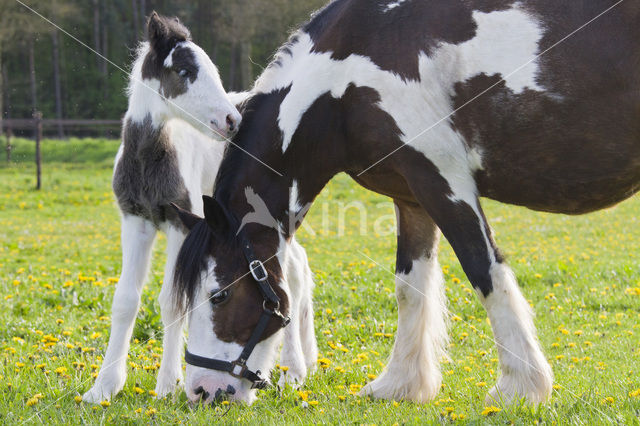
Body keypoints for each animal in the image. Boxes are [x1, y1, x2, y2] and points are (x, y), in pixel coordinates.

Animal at [82, 13, 318, 404]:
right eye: (184, 71)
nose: (231, 121)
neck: (151, 157)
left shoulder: (183, 224)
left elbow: (172, 301)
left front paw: (167, 385)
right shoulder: (135, 220)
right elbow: (125, 299)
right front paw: (103, 387)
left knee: (294, 273)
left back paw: (294, 370)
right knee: (299, 265)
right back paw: (307, 362)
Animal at [172, 0, 636, 406]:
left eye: (219, 296)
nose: (201, 392)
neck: (345, 77)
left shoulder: (445, 183)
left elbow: (485, 272)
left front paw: (519, 388)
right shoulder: (411, 196)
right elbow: (410, 286)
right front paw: (400, 384)